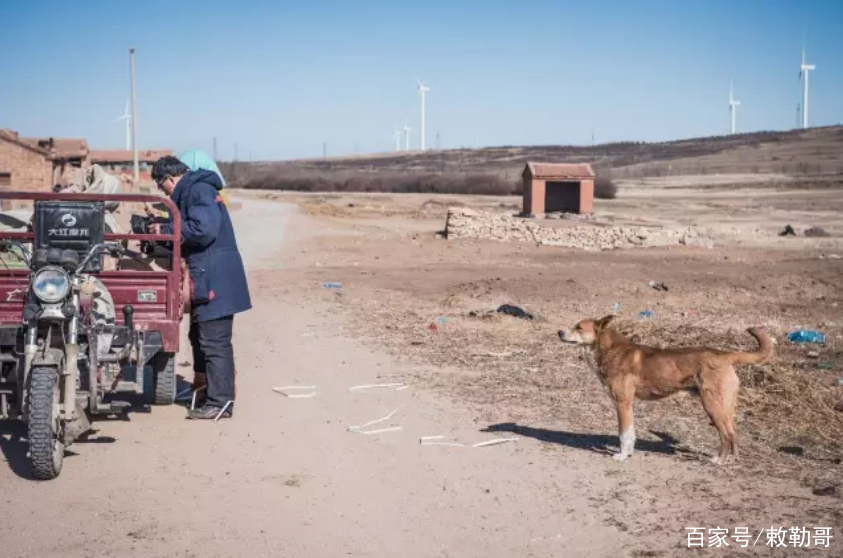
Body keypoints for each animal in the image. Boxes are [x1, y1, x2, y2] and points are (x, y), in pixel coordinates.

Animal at [556, 318, 776, 466]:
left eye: (578, 327)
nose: (558, 332)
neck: (609, 350)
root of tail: (724, 354)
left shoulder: (622, 402)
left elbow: (624, 434)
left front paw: (622, 455)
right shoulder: (627, 405)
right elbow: (631, 433)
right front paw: (629, 453)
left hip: (713, 407)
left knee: (727, 434)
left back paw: (718, 460)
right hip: (724, 406)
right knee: (734, 433)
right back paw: (732, 458)